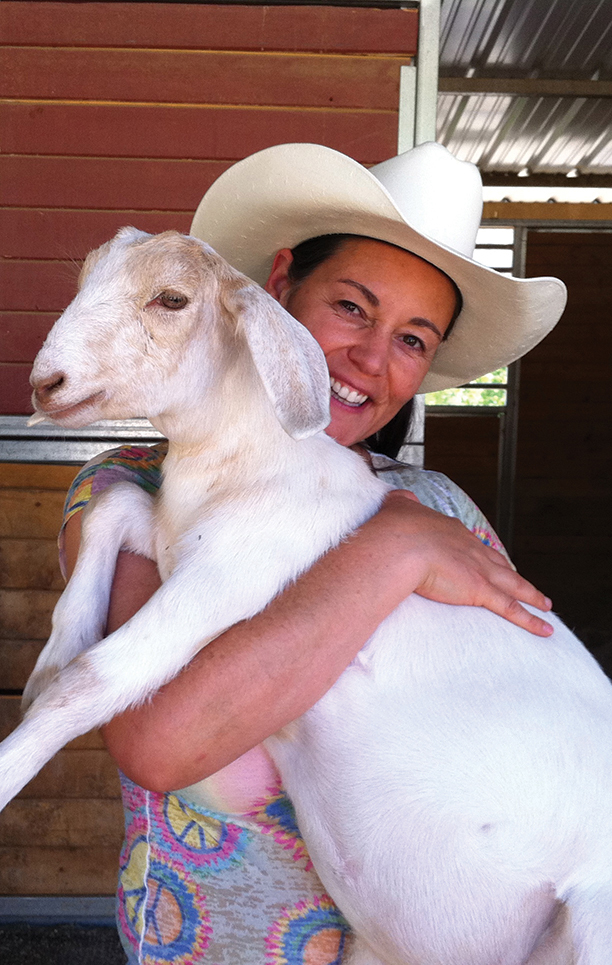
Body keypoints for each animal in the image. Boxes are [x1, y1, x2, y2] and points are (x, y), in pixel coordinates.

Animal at [3, 228, 612, 964]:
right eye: (86, 275)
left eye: (172, 299)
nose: (46, 383)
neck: (246, 466)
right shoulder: (176, 540)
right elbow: (112, 505)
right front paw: (54, 652)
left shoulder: (229, 575)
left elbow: (94, 682)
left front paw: (9, 766)